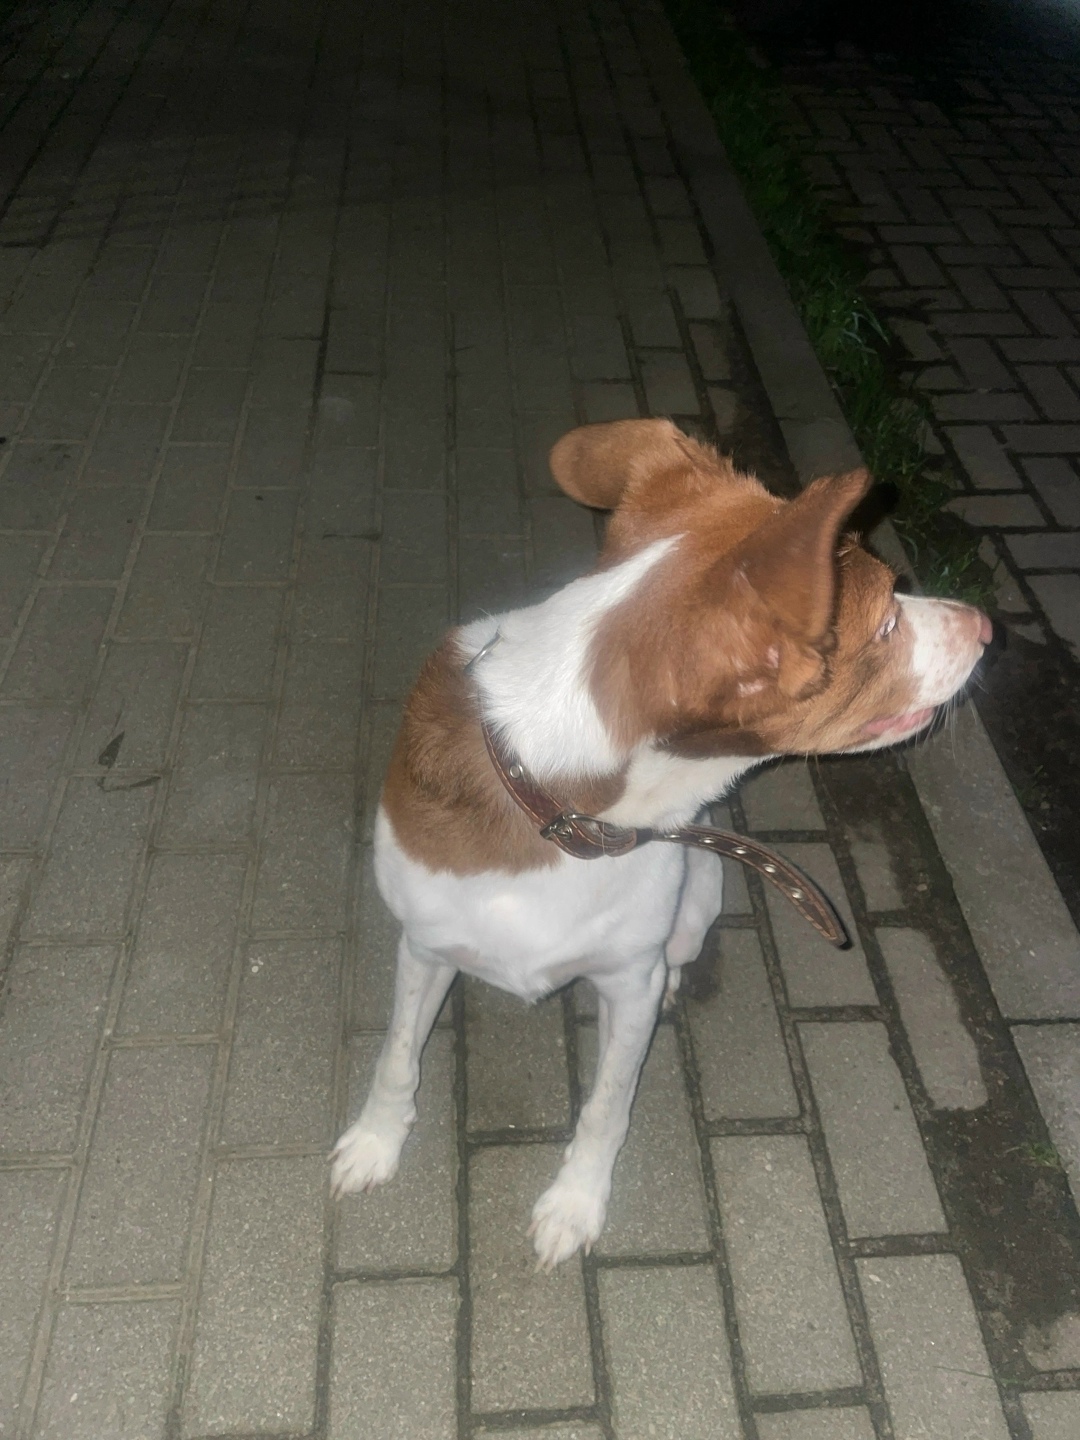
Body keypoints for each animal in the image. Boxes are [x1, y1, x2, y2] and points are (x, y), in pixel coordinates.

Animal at [331, 419, 990, 1268]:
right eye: (885, 621)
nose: (987, 625)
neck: (564, 811)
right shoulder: (423, 943)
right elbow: (396, 1054)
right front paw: (376, 1141)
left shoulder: (626, 976)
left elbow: (606, 1107)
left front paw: (576, 1203)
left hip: (695, 901)